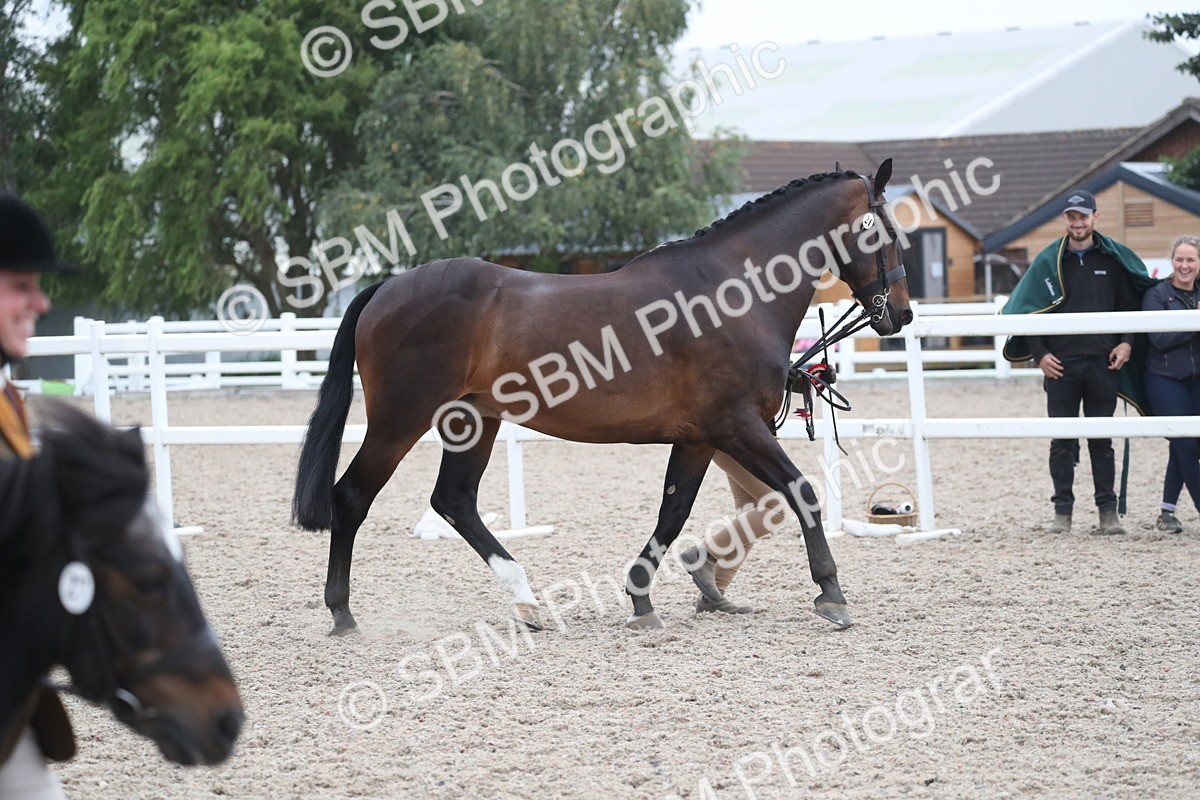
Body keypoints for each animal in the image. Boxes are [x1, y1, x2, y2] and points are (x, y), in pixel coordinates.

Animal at [294, 160, 912, 634]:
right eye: (886, 234)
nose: (901, 315)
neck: (732, 294)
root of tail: (385, 288)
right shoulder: (737, 426)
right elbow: (802, 492)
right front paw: (831, 595)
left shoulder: (700, 437)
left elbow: (673, 512)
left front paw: (642, 599)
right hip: (401, 421)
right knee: (353, 496)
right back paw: (343, 614)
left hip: (473, 421)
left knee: (455, 501)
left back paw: (527, 603)